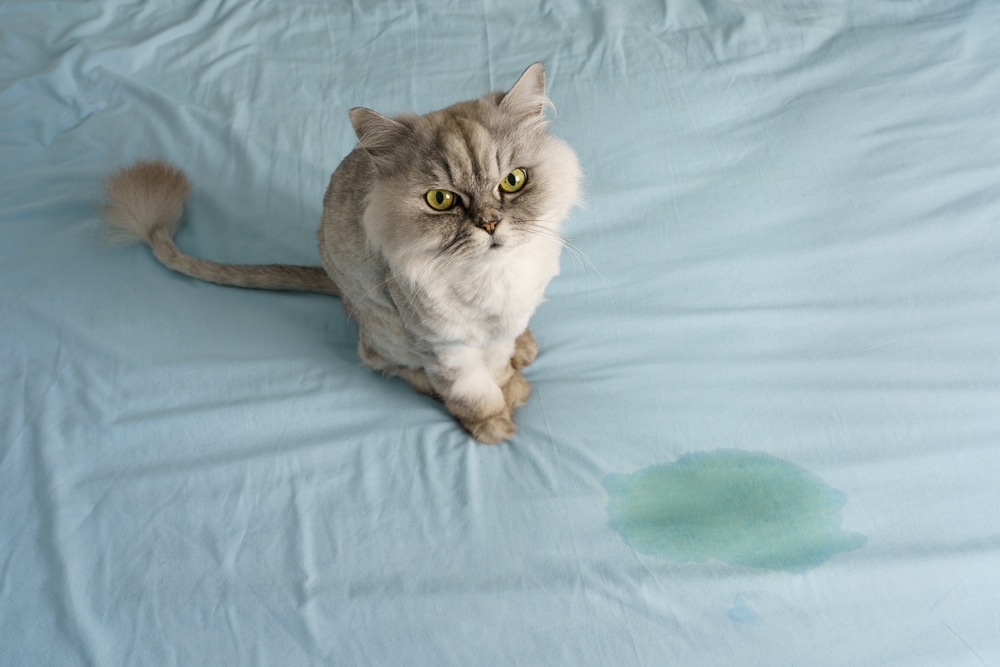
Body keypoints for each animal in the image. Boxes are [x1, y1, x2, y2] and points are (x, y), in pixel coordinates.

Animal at [100, 64, 580, 444]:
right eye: (441, 200)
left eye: (513, 181)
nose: (490, 224)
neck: (493, 278)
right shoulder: (442, 345)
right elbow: (473, 391)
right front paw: (494, 424)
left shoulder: (500, 328)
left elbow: (497, 366)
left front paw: (511, 384)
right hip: (384, 327)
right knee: (381, 361)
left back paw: (525, 349)